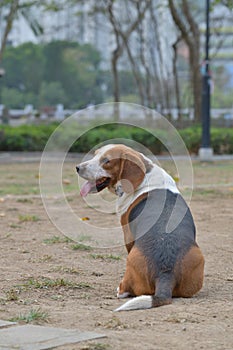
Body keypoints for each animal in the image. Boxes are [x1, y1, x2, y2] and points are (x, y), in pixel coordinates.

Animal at [76, 144, 204, 310]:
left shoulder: (128, 235)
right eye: (96, 154)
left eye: (107, 161)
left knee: (124, 291)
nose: (78, 168)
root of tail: (166, 273)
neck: (145, 178)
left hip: (130, 261)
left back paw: (120, 289)